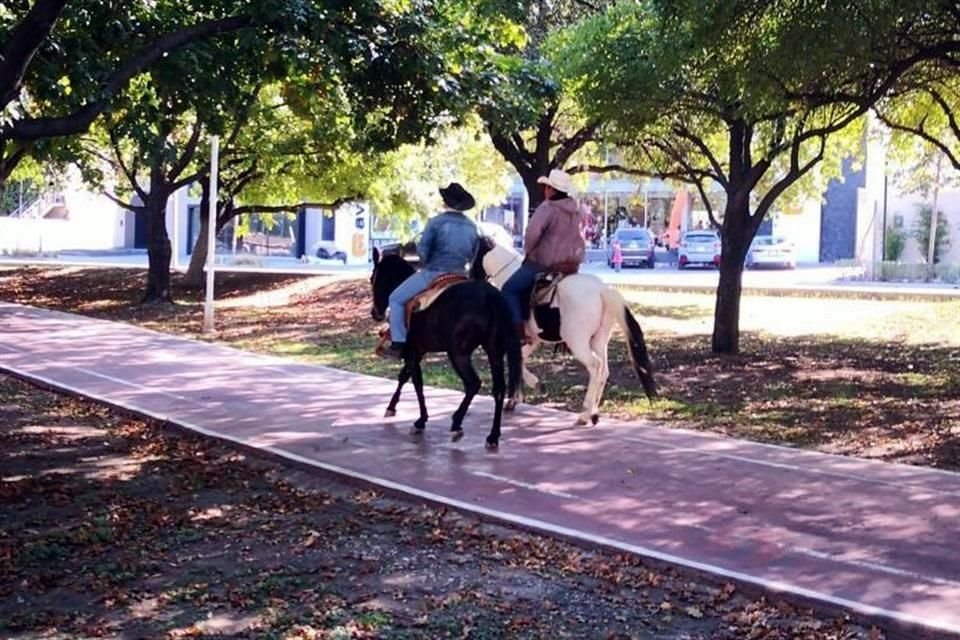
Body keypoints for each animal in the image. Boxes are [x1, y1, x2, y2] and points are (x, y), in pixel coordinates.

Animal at [370, 248, 520, 448]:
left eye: (372, 278)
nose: (375, 313)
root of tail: (490, 297)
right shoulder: (418, 351)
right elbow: (404, 376)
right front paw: (391, 407)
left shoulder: (411, 352)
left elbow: (417, 383)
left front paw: (420, 421)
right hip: (494, 351)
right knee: (498, 389)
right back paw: (493, 436)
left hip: (458, 353)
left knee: (473, 383)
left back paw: (457, 423)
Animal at [468, 240, 656, 424]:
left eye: (474, 252)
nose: (471, 277)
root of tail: (603, 290)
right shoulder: (532, 339)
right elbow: (520, 360)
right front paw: (519, 397)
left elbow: (516, 361)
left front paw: (530, 388)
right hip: (599, 340)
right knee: (603, 371)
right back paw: (593, 413)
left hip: (578, 342)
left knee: (595, 367)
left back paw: (585, 413)